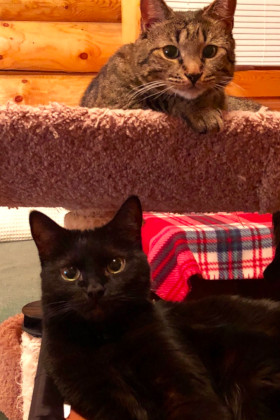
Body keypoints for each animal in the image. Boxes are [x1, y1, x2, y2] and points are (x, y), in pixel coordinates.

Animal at [30, 197, 280, 420]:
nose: (95, 290)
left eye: (116, 265)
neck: (106, 338)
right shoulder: (98, 393)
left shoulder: (180, 381)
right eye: (69, 273)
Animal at [81, 0, 260, 133]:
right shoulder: (118, 106)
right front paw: (201, 112)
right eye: (170, 52)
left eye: (210, 51)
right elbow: (167, 98)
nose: (194, 74)